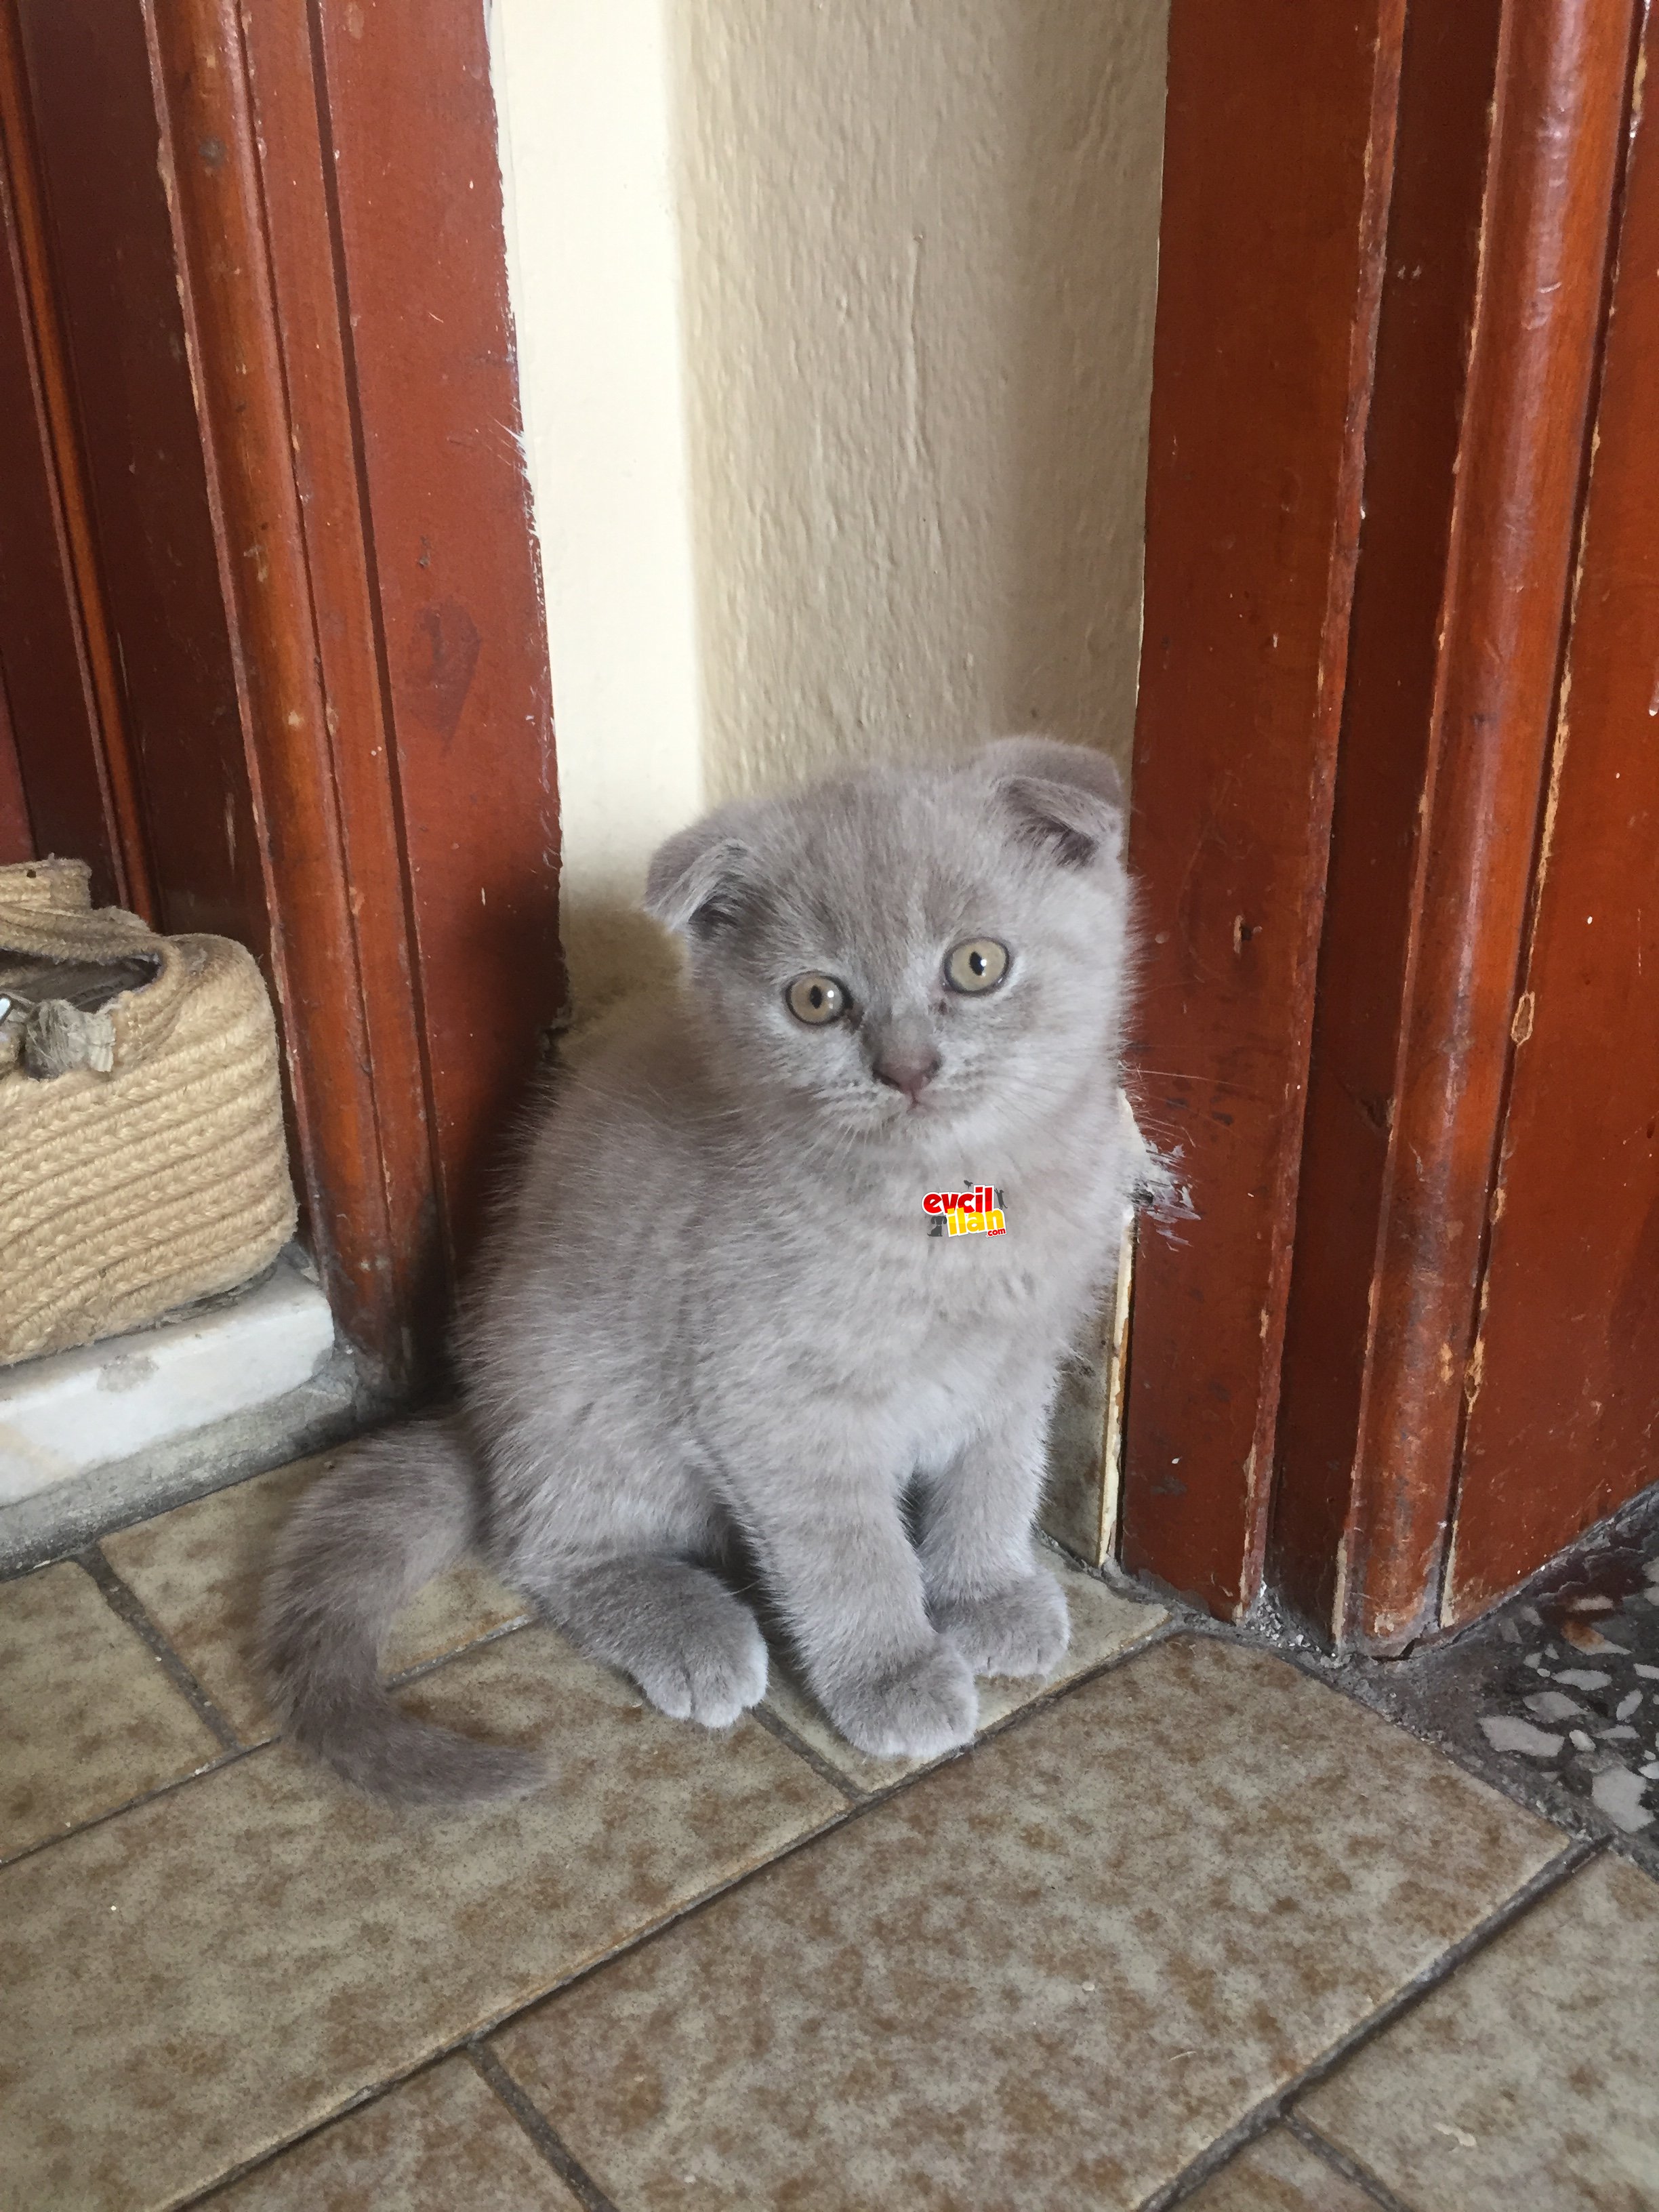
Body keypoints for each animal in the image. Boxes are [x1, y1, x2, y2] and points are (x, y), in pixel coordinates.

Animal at [263, 734, 1141, 1805]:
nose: (906, 1068)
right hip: (586, 1397)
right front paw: (893, 1673)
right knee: (544, 1546)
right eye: (817, 999)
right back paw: (692, 1629)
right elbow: (851, 1553)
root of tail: (484, 1425)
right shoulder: (771, 1404)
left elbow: (995, 1479)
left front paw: (987, 1592)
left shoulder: (1016, 1366)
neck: (951, 1221)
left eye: (978, 965)